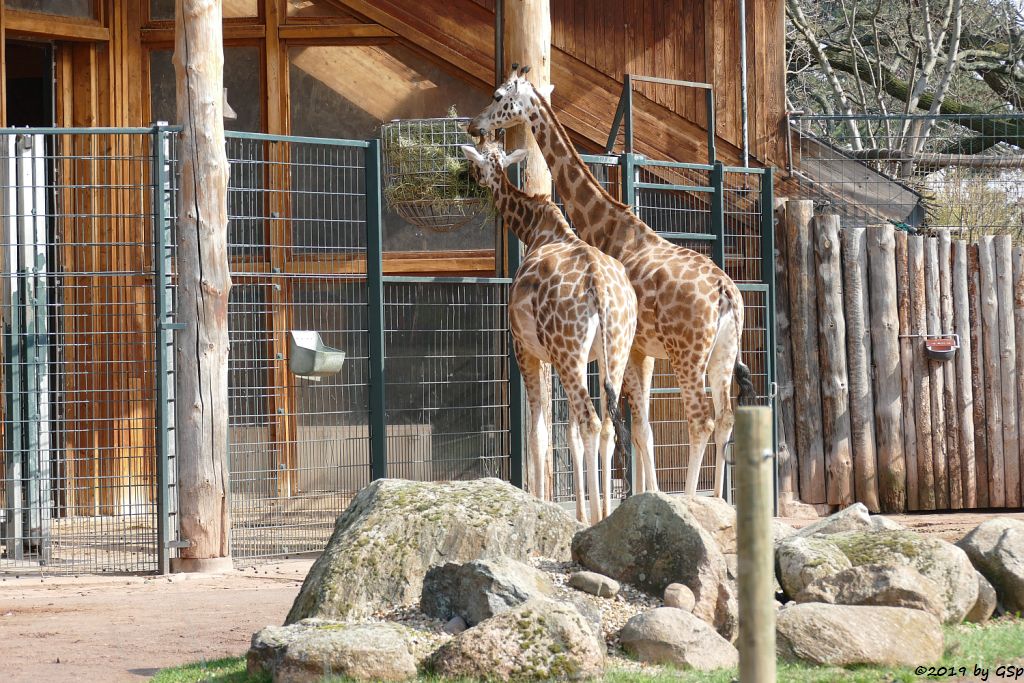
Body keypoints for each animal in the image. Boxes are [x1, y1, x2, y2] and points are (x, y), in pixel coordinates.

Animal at [460, 139, 634, 524]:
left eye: (476, 163)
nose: (464, 179)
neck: (538, 229)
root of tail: (598, 286)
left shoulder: (525, 349)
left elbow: (538, 433)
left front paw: (540, 503)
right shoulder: (567, 357)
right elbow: (566, 433)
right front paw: (575, 510)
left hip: (569, 352)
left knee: (591, 421)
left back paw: (596, 515)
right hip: (613, 352)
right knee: (606, 425)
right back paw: (604, 513)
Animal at [468, 68, 757, 497]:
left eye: (498, 95)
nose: (475, 125)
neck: (606, 225)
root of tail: (726, 295)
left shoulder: (633, 348)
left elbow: (630, 430)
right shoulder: (640, 351)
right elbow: (641, 431)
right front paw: (648, 493)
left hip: (687, 354)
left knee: (700, 419)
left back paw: (691, 499)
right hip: (723, 351)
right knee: (725, 417)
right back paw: (721, 502)